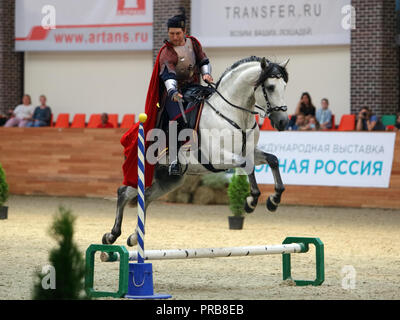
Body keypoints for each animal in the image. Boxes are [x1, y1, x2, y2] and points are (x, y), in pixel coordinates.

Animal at [102, 55, 290, 245]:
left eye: (284, 86)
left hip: (170, 180)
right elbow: (247, 165)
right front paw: (251, 201)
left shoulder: (250, 152)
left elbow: (273, 159)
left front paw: (274, 200)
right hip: (146, 172)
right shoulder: (218, 157)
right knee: (123, 192)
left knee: (146, 196)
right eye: (270, 87)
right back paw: (112, 235)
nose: (283, 122)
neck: (232, 114)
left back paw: (135, 236)